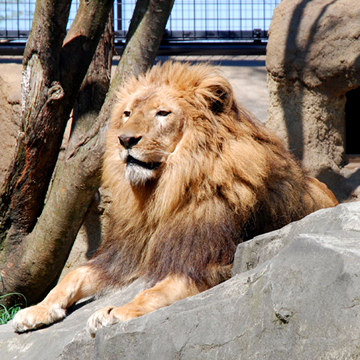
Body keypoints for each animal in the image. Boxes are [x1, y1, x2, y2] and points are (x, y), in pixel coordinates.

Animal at [11, 61, 338, 334]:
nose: (124, 140)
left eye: (162, 113)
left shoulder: (207, 263)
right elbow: (73, 276)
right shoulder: (124, 254)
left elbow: (153, 291)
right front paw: (35, 310)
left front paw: (115, 312)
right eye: (128, 113)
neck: (161, 195)